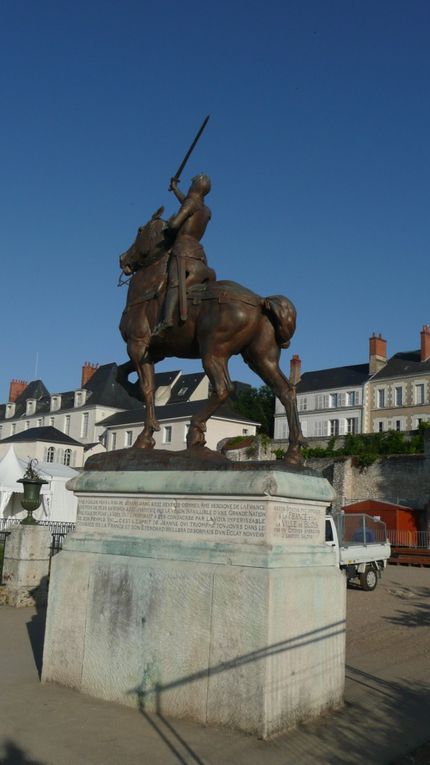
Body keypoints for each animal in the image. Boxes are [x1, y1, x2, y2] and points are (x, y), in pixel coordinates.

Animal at [117, 215, 306, 466]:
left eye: (140, 231)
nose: (123, 259)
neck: (149, 290)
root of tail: (260, 301)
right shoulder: (154, 353)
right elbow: (121, 373)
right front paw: (132, 394)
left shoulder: (137, 346)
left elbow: (147, 388)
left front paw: (145, 436)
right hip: (260, 358)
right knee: (286, 391)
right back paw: (293, 452)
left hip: (213, 352)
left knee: (223, 388)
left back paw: (195, 433)